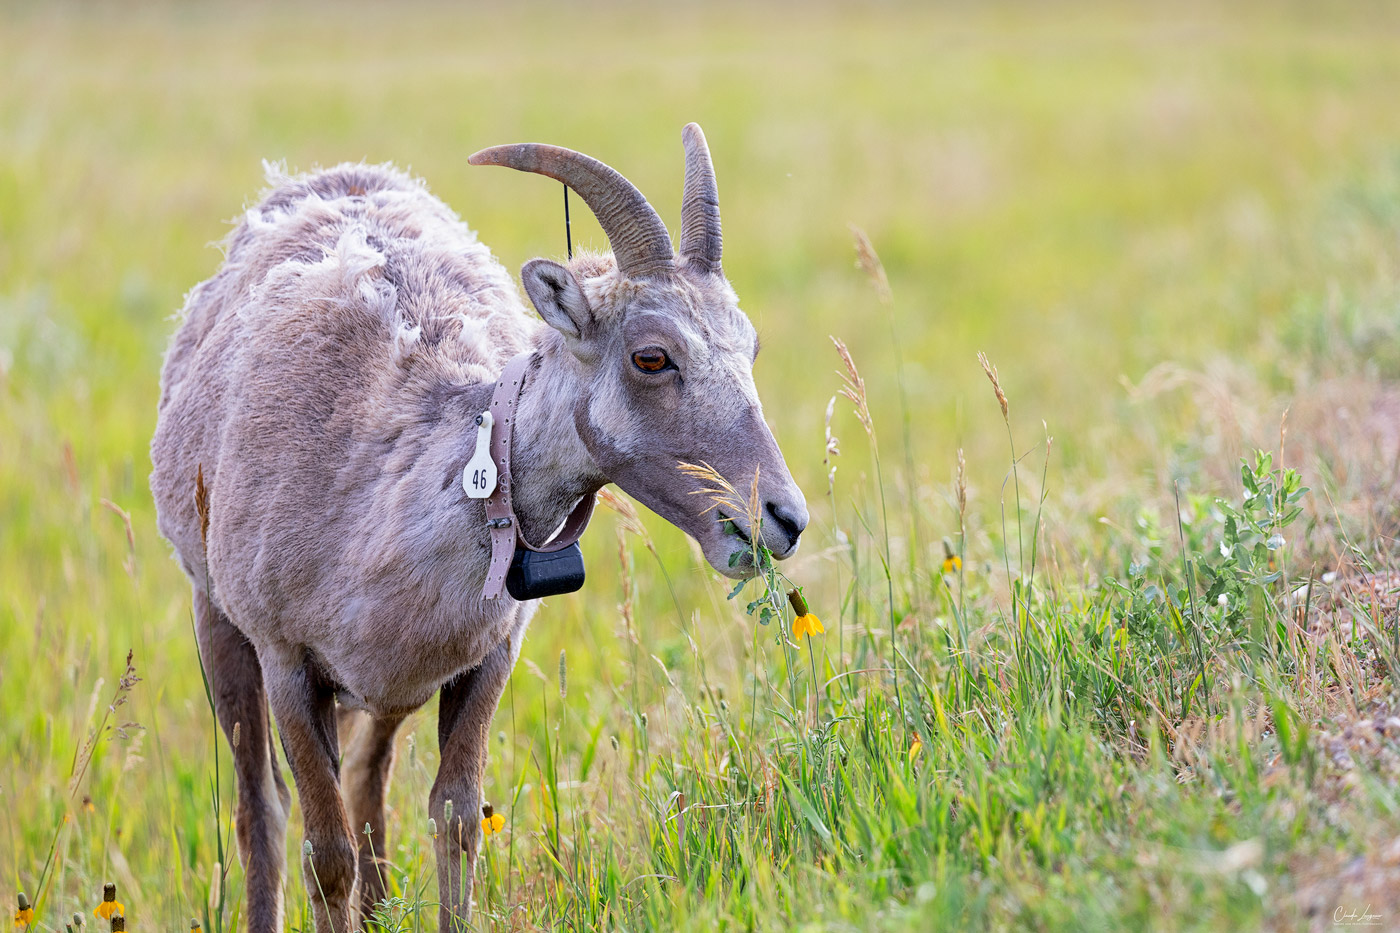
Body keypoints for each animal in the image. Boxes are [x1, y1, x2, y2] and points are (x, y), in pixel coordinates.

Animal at [147, 121, 806, 924]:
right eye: (652, 355)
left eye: (750, 344)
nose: (780, 519)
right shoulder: (287, 663)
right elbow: (324, 853)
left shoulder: (483, 660)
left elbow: (455, 818)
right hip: (218, 628)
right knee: (261, 810)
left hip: (381, 695)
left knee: (368, 783)